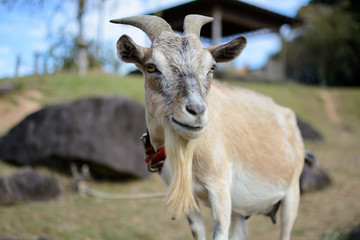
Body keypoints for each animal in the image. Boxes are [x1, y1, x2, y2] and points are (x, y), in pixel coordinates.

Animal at [110, 14, 304, 240]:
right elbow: (197, 231)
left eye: (212, 67)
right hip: (241, 210)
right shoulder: (189, 196)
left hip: (292, 194)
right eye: (151, 66)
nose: (196, 111)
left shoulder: (220, 190)